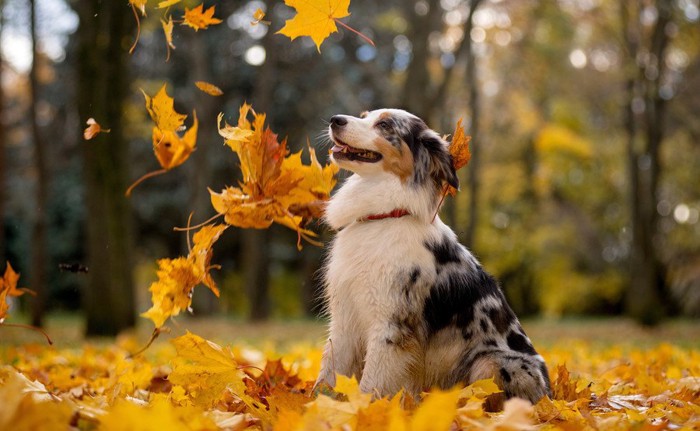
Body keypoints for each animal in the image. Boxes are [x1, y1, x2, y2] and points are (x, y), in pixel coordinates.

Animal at [318, 108, 552, 408]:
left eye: (385, 125)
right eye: (364, 115)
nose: (335, 119)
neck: (384, 216)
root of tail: (549, 394)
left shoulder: (391, 326)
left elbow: (371, 385)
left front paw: (364, 411)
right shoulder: (344, 318)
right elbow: (328, 373)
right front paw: (314, 406)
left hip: (490, 362)